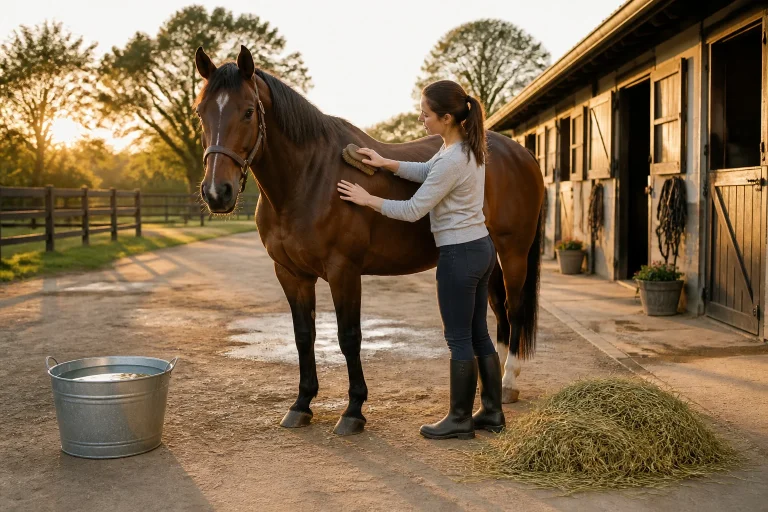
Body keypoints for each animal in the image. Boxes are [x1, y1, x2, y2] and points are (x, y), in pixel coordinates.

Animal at [194, 45, 544, 435]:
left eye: (248, 111)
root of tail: (521, 153)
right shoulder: (291, 274)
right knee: (497, 312)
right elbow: (303, 336)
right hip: (492, 259)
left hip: (513, 253)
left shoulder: (344, 271)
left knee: (515, 309)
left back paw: (509, 382)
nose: (217, 193)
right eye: (200, 111)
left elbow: (349, 337)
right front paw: (301, 404)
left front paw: (353, 411)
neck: (308, 178)